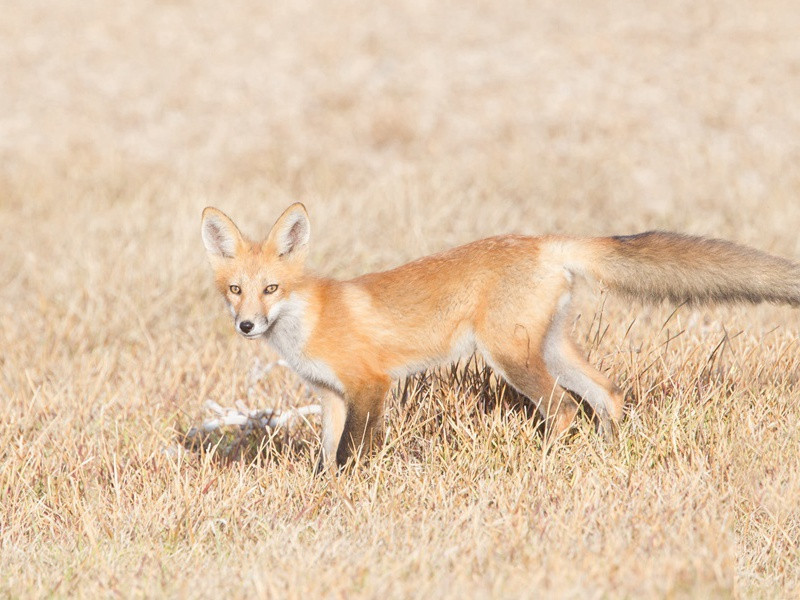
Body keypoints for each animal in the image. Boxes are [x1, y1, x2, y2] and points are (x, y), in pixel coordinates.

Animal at [202, 202, 800, 468]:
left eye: (271, 288)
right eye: (235, 290)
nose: (247, 325)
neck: (309, 317)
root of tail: (542, 241)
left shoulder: (370, 384)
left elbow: (353, 452)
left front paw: (352, 492)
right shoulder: (330, 395)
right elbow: (327, 455)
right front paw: (324, 493)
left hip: (509, 357)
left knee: (563, 409)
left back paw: (545, 466)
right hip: (550, 350)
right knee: (608, 396)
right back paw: (610, 459)